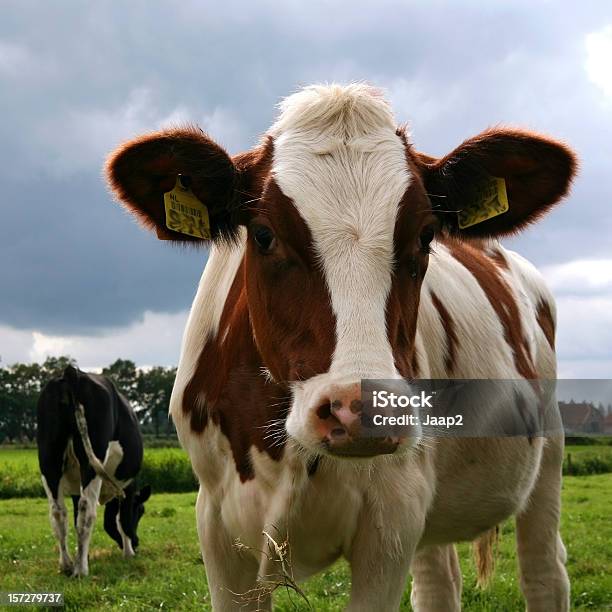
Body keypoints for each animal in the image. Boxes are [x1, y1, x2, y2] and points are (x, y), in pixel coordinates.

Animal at [37, 366, 151, 576]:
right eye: (140, 511)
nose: (137, 542)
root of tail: (71, 371)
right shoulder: (129, 487)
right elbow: (122, 519)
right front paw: (129, 552)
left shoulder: (75, 487)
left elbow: (77, 517)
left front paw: (83, 556)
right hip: (92, 460)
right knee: (87, 510)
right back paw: (81, 570)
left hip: (49, 458)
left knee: (58, 512)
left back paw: (66, 565)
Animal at [107, 83, 576, 608]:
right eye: (264, 234)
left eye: (426, 235)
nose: (361, 409)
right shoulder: (217, 523)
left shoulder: (392, 519)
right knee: (439, 581)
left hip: (548, 453)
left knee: (543, 570)